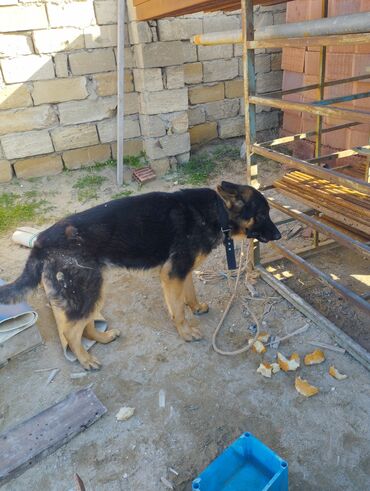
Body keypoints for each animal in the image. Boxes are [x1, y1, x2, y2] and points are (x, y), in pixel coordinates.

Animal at [0, 181, 278, 368]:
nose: (278, 235)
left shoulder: (182, 271)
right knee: (70, 331)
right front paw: (186, 333)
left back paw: (102, 337)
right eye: (262, 214)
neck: (217, 211)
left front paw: (196, 307)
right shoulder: (173, 274)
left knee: (85, 325)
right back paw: (86, 359)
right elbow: (178, 310)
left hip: (93, 289)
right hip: (89, 289)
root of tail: (40, 242)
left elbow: (189, 294)